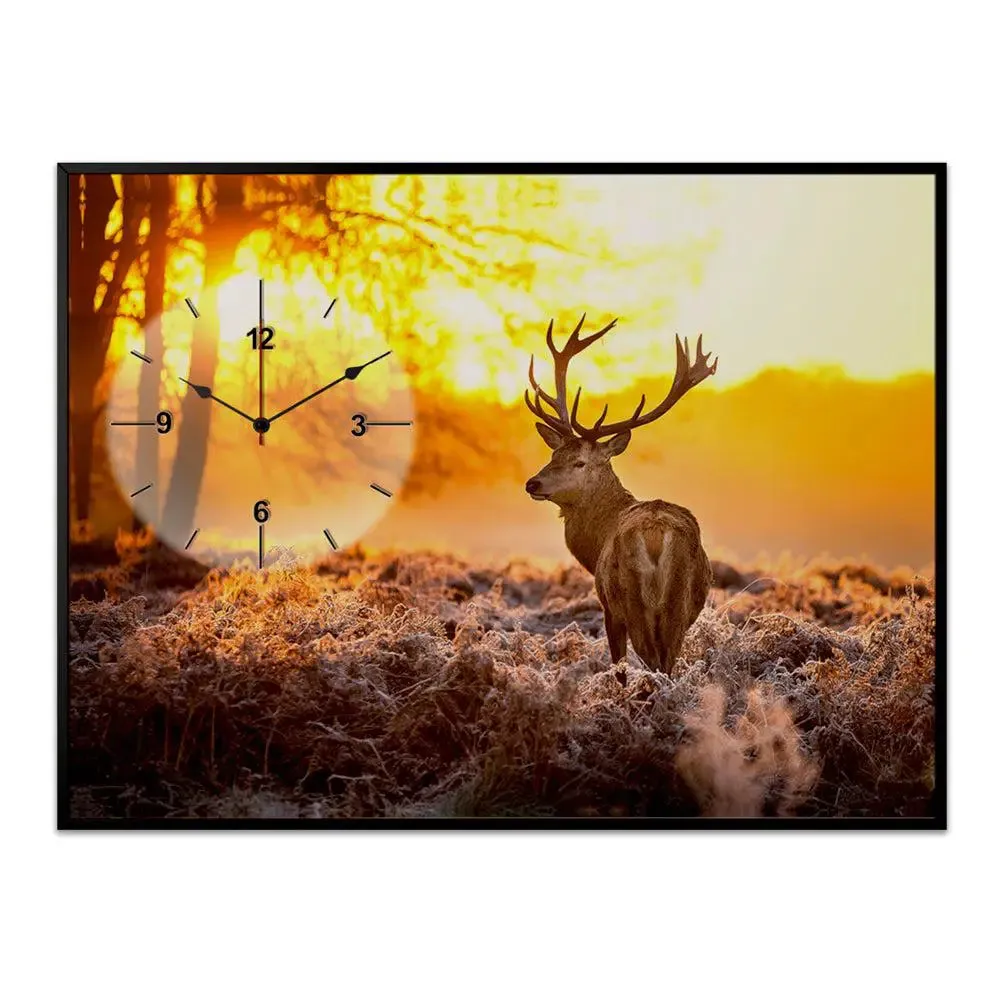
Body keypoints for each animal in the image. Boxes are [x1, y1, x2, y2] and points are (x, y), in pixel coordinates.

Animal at [524, 315, 717, 675]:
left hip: (631, 600)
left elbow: (619, 665)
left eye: (580, 462)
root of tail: (656, 535)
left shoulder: (608, 607)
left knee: (652, 664)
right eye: (553, 455)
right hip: (679, 607)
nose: (533, 483)